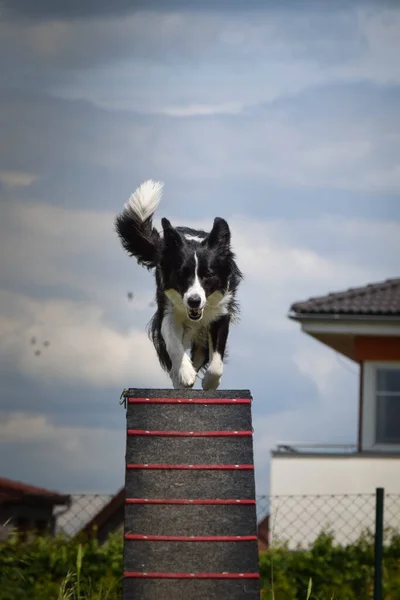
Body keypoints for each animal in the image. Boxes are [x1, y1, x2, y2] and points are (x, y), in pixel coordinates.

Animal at [114, 180, 242, 392]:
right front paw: (185, 373)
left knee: (201, 353)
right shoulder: (168, 310)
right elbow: (174, 345)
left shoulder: (221, 312)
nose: (194, 301)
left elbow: (216, 360)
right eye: (182, 274)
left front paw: (209, 382)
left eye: (208, 275)